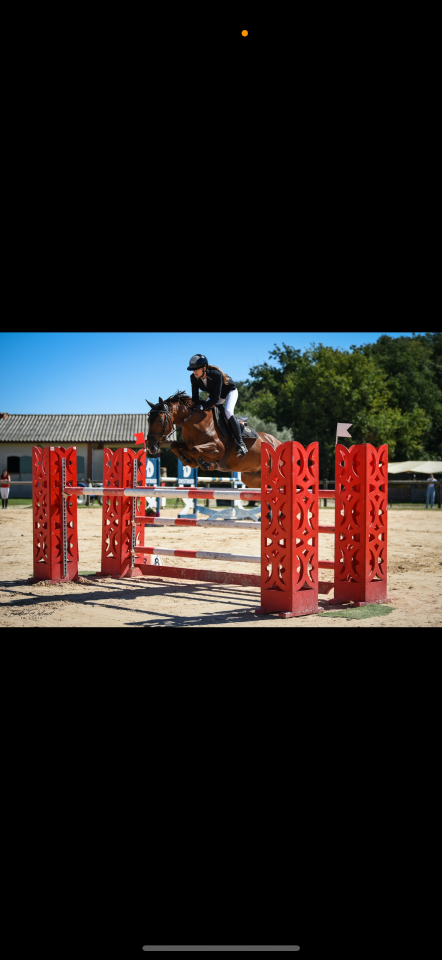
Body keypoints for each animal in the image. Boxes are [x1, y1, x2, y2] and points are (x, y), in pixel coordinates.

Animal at [145, 391, 280, 490]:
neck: (195, 423)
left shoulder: (218, 449)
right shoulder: (187, 445)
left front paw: (205, 464)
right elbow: (175, 445)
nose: (151, 446)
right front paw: (188, 461)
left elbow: (195, 450)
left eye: (160, 420)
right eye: (148, 420)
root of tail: (277, 443)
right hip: (251, 478)